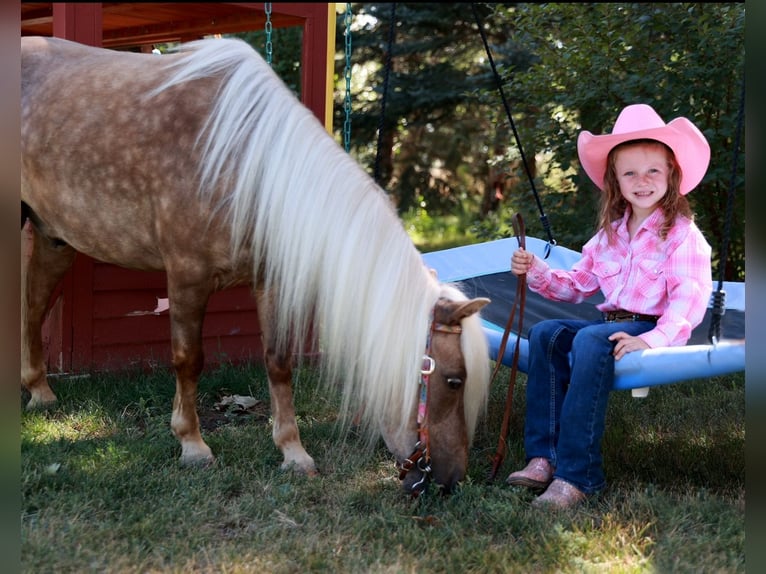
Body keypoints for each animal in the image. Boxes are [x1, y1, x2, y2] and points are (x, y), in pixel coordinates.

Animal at [21, 36, 491, 495]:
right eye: (454, 380)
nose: (451, 480)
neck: (247, 167)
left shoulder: (271, 282)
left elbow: (278, 362)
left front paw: (293, 453)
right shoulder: (187, 275)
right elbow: (189, 359)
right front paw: (192, 445)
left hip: (54, 239)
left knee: (33, 308)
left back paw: (40, 391)